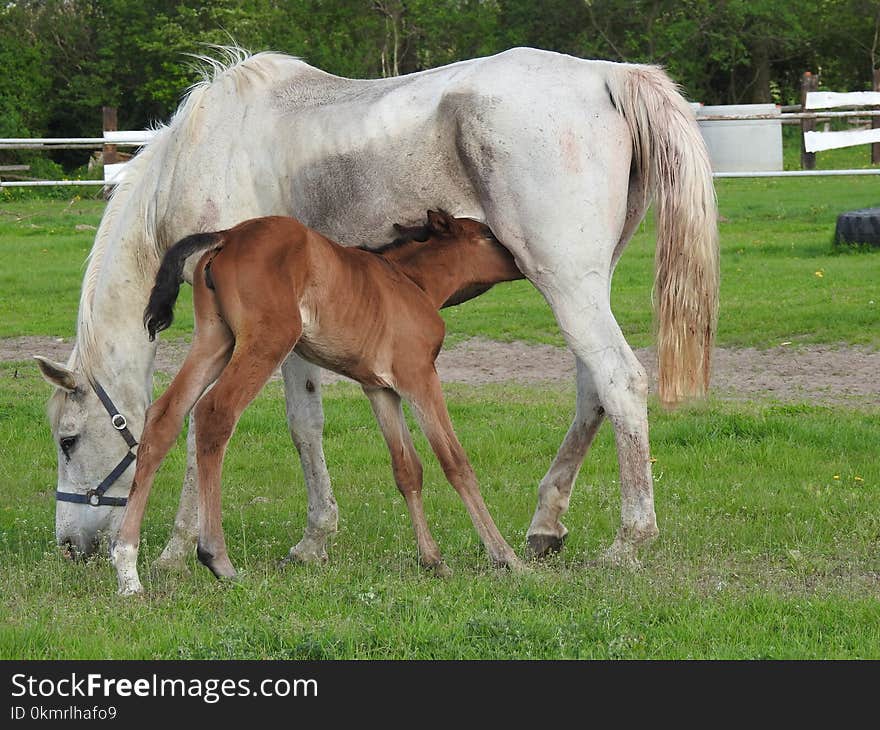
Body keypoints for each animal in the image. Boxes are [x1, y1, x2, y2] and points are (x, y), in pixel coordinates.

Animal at [109, 210, 524, 592]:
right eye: (488, 234)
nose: (519, 260)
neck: (411, 282)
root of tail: (228, 235)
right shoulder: (419, 377)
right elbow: (456, 463)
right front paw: (506, 556)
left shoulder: (380, 389)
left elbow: (407, 469)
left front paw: (433, 559)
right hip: (269, 340)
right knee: (215, 413)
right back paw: (217, 558)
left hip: (215, 340)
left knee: (165, 415)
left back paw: (127, 566)